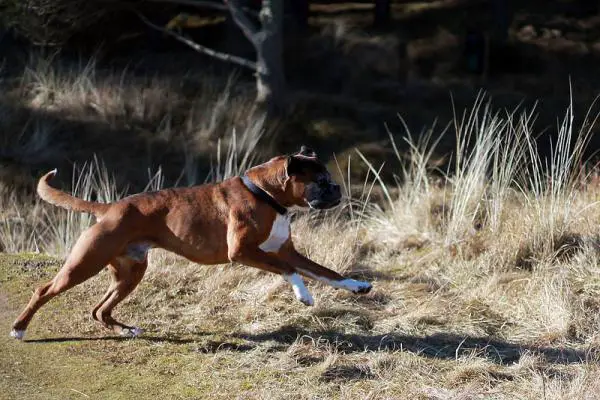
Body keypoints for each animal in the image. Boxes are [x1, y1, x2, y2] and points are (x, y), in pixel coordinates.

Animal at [10, 145, 370, 340]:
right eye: (320, 181)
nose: (337, 188)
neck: (267, 196)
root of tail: (109, 208)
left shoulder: (287, 251)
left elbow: (326, 272)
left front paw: (356, 285)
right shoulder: (244, 251)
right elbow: (289, 270)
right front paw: (303, 295)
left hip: (130, 273)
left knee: (100, 310)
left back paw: (125, 330)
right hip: (85, 263)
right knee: (43, 291)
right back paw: (19, 329)